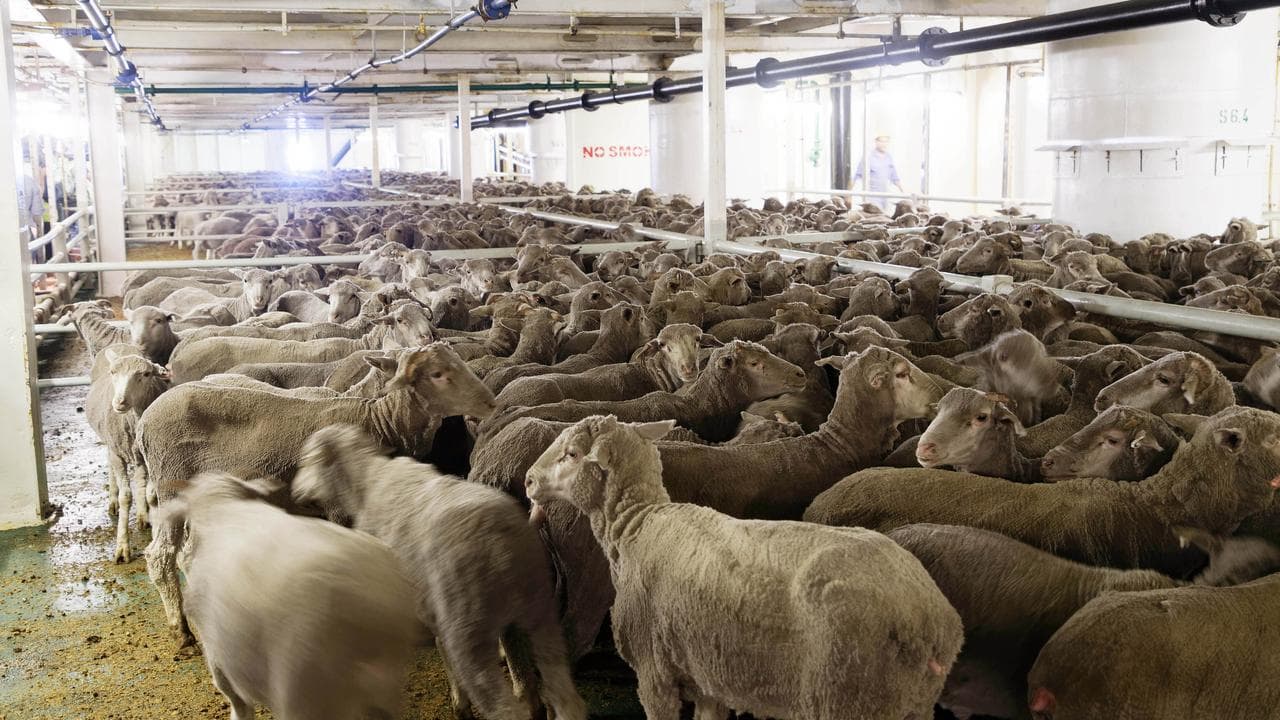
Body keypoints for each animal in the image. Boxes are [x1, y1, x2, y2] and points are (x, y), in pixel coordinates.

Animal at [141, 343, 496, 646]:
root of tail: (145, 419)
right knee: (160, 556)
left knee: (187, 554)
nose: (490, 403)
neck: (380, 422)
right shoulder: (339, 510)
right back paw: (182, 632)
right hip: (171, 483)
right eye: (437, 374)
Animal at [292, 426, 586, 720]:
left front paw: (458, 702)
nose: (295, 493)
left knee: (502, 706)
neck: (365, 480)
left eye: (307, 460)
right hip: (540, 612)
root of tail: (500, 542)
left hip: (468, 631)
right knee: (561, 695)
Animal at [524, 415, 963, 720]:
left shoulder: (654, 675)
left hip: (848, 695)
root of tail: (928, 620)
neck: (637, 525)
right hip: (912, 703)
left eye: (571, 454)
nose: (528, 480)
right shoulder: (708, 678)